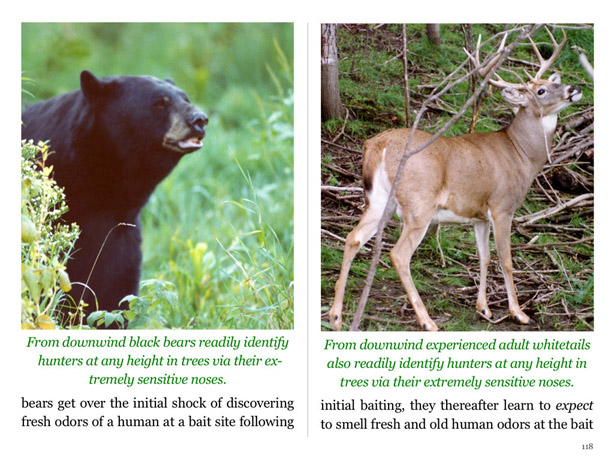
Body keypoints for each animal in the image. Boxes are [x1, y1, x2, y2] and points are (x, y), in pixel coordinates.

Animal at [330, 27, 584, 328]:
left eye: (554, 81)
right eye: (541, 90)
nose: (574, 88)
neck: (521, 154)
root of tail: (376, 145)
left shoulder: (479, 215)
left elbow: (484, 257)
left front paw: (483, 308)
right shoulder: (502, 206)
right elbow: (506, 259)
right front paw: (518, 312)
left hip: (380, 200)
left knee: (353, 237)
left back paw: (335, 316)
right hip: (419, 203)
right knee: (398, 254)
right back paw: (427, 321)